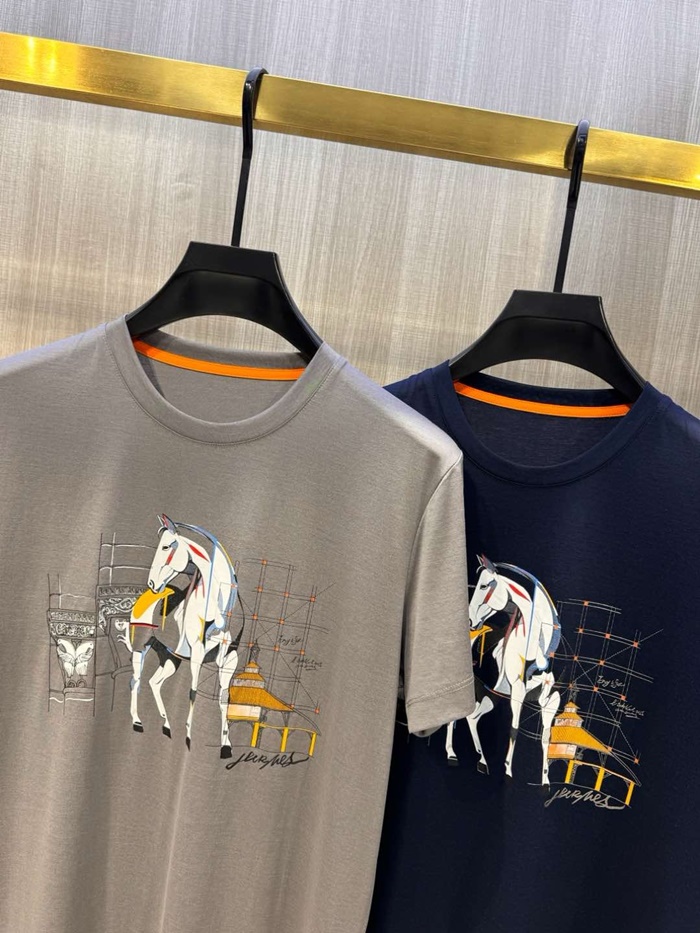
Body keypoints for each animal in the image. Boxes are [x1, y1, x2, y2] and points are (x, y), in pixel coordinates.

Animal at [116, 513, 243, 757]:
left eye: (166, 546)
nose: (152, 583)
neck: (218, 606)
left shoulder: (230, 657)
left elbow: (225, 698)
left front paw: (226, 746)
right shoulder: (197, 655)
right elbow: (193, 692)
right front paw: (189, 740)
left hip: (170, 656)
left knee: (155, 683)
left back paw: (166, 726)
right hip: (141, 648)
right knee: (136, 681)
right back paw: (137, 722)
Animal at [445, 555, 561, 785]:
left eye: (484, 585)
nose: (469, 621)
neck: (536, 646)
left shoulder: (550, 698)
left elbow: (546, 736)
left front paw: (545, 781)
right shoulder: (517, 692)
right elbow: (514, 729)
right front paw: (508, 771)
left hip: (491, 695)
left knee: (472, 718)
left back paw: (482, 762)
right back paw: (451, 755)